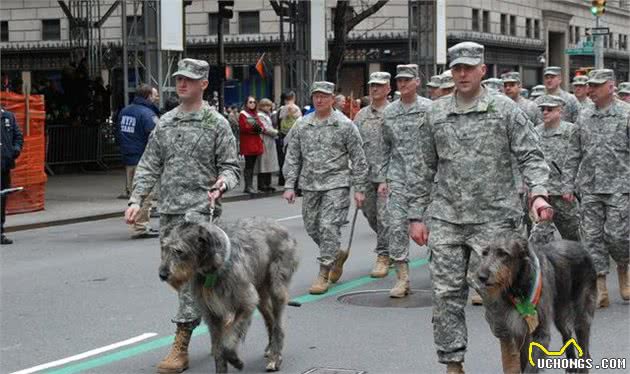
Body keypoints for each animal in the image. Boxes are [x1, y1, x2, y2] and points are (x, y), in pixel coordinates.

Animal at [159, 218, 300, 372]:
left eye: (179, 251)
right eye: (164, 248)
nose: (162, 274)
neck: (214, 267)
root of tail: (280, 226)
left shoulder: (246, 303)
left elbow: (228, 341)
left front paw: (234, 359)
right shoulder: (212, 315)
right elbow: (218, 348)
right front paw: (221, 368)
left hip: (276, 286)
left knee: (278, 324)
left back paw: (275, 356)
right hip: (260, 291)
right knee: (270, 317)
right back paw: (270, 347)